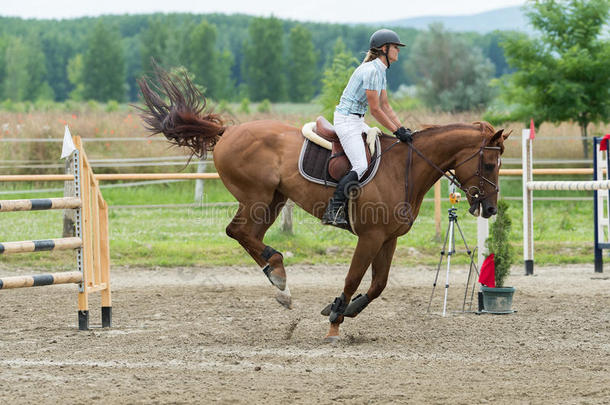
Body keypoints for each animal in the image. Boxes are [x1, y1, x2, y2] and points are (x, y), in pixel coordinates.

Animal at [139, 68, 508, 340]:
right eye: (490, 165)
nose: (490, 209)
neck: (406, 167)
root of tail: (227, 132)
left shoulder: (388, 238)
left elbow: (378, 285)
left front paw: (347, 309)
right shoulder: (370, 236)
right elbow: (353, 277)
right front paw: (334, 319)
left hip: (273, 200)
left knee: (247, 235)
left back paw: (279, 281)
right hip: (256, 197)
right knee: (238, 231)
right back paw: (280, 276)